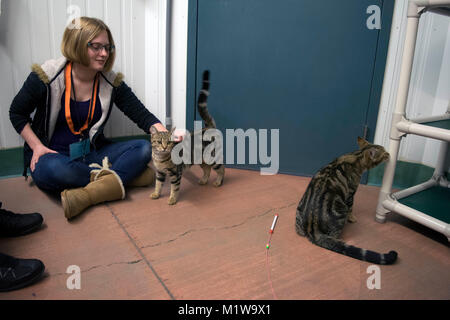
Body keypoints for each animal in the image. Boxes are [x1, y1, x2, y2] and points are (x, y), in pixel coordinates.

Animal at [149, 70, 224, 205]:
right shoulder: (159, 172)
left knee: (221, 168)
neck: (160, 158)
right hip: (200, 159)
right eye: (159, 142)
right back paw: (204, 180)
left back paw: (218, 182)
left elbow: (175, 187)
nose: (164, 147)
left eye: (169, 142)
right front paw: (156, 194)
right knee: (207, 169)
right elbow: (158, 184)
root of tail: (208, 128)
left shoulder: (175, 173)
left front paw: (172, 199)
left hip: (212, 158)